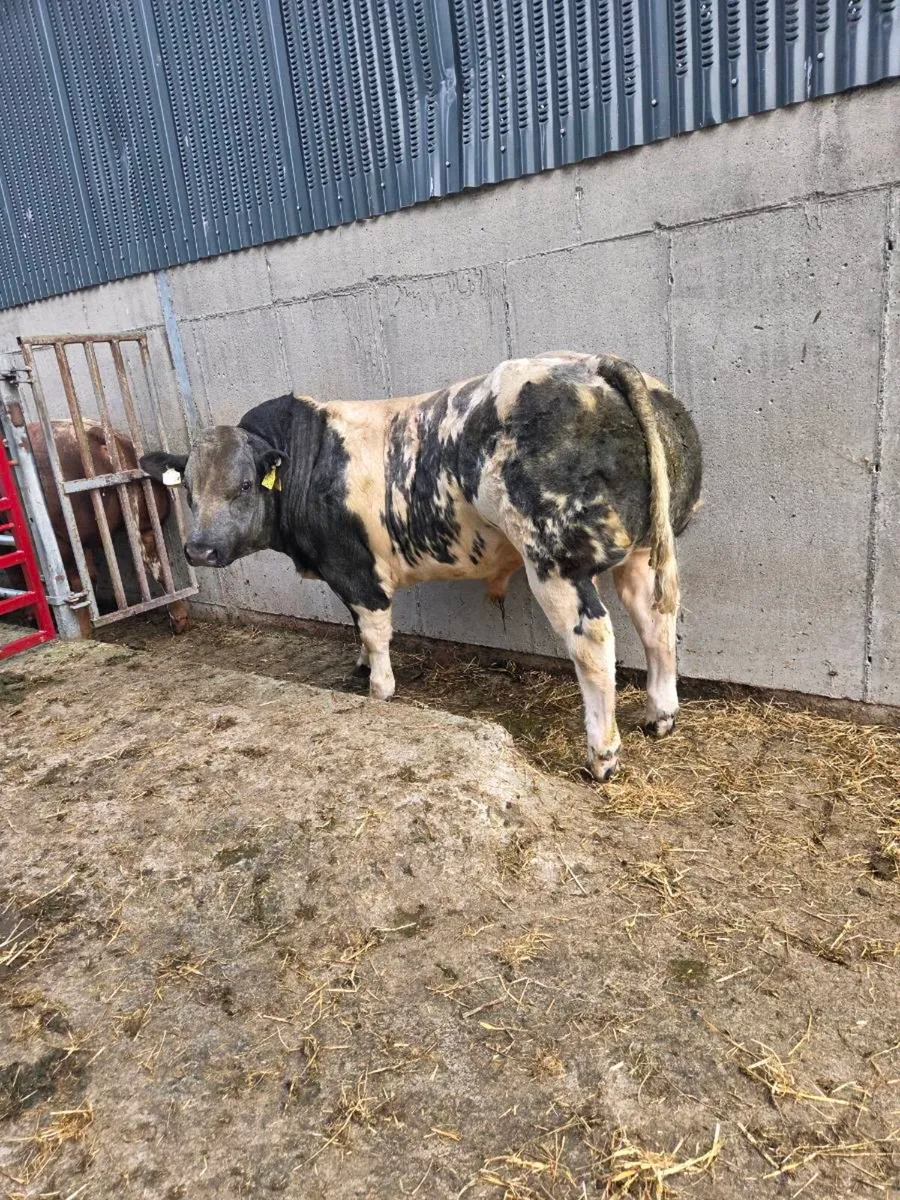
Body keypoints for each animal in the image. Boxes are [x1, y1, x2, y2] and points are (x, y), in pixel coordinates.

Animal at [26, 421, 189, 637]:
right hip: (148, 517)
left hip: (66, 536)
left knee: (79, 579)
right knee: (157, 561)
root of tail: (95, 432)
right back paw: (178, 619)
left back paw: (82, 634)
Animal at [140, 352, 702, 780]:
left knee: (594, 641)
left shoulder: (356, 571)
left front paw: (378, 688)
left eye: (242, 486)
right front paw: (361, 666)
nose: (199, 551)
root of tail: (592, 364)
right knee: (656, 620)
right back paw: (660, 715)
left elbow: (374, 631)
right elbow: (359, 632)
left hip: (555, 562)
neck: (312, 458)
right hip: (644, 552)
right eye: (187, 491)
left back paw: (602, 755)